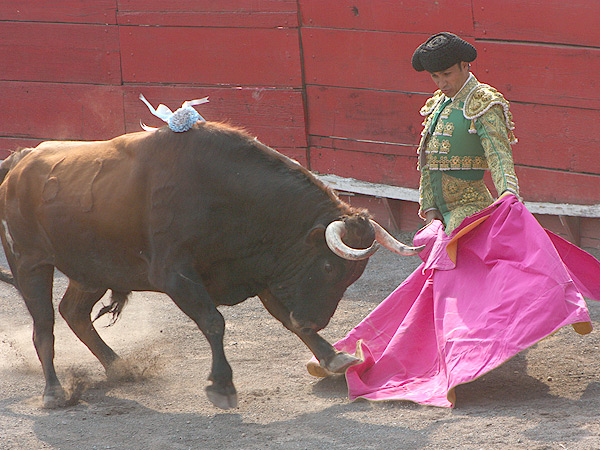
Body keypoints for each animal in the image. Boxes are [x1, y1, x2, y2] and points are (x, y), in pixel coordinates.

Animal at [0, 121, 422, 410]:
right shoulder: (175, 275)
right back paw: (54, 392)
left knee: (73, 312)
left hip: (91, 270)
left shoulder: (258, 268)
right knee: (44, 326)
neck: (227, 194)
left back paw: (119, 368)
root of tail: (19, 162)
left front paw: (335, 357)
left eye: (354, 276)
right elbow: (213, 321)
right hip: (30, 263)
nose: (313, 321)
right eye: (330, 269)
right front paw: (221, 386)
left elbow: (282, 316)